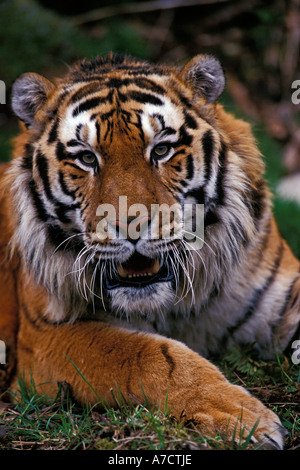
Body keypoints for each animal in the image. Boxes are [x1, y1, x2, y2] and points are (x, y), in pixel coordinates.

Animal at [0, 51, 300, 448]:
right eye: (87, 158)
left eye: (161, 149)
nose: (131, 224)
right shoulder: (44, 336)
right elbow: (148, 354)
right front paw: (241, 417)